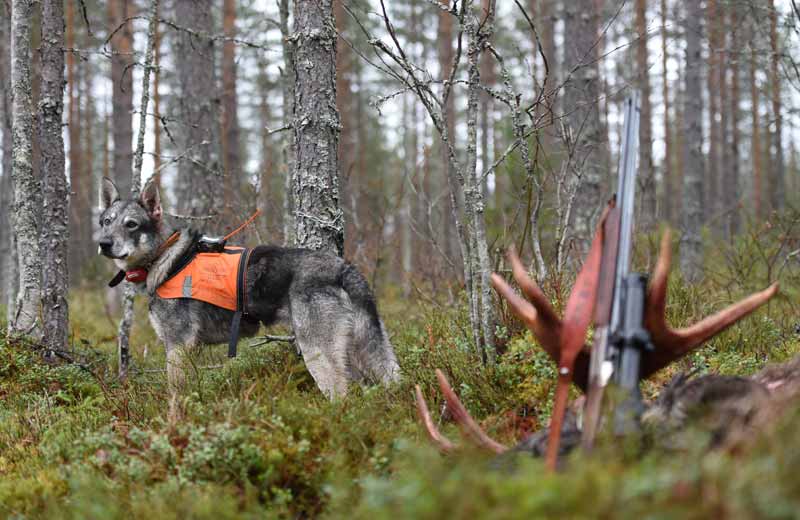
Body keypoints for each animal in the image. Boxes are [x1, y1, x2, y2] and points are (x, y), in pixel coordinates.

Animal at [98, 177, 400, 400]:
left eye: (131, 225)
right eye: (106, 222)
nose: (103, 243)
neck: (167, 258)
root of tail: (343, 268)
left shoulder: (177, 347)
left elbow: (175, 399)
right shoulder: (189, 351)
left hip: (318, 354)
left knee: (342, 396)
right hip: (355, 353)